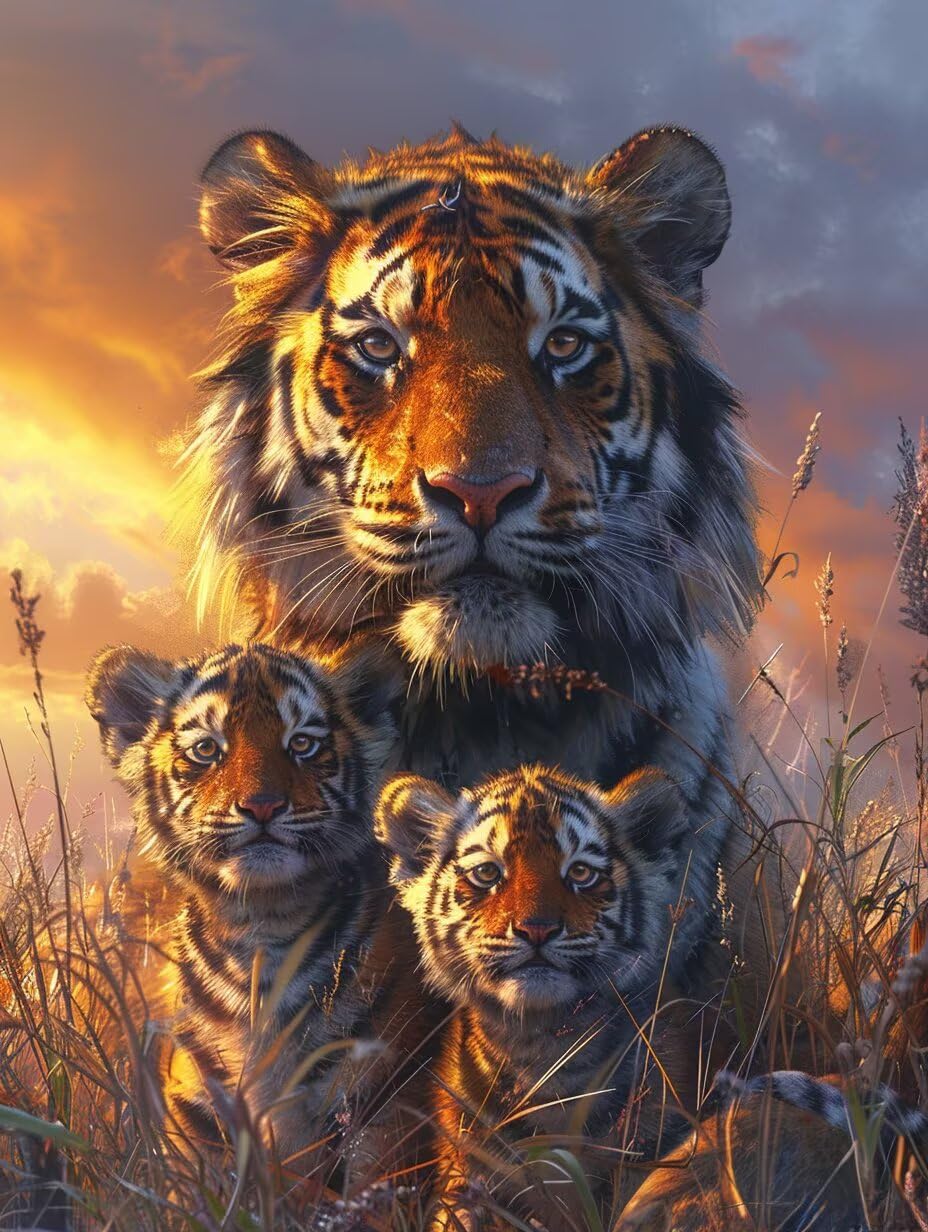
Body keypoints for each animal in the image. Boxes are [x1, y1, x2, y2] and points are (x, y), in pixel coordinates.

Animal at [84, 639, 431, 1186]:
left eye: (303, 743)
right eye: (207, 749)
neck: (262, 929)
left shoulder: (385, 1107)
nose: (262, 805)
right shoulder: (199, 1114)